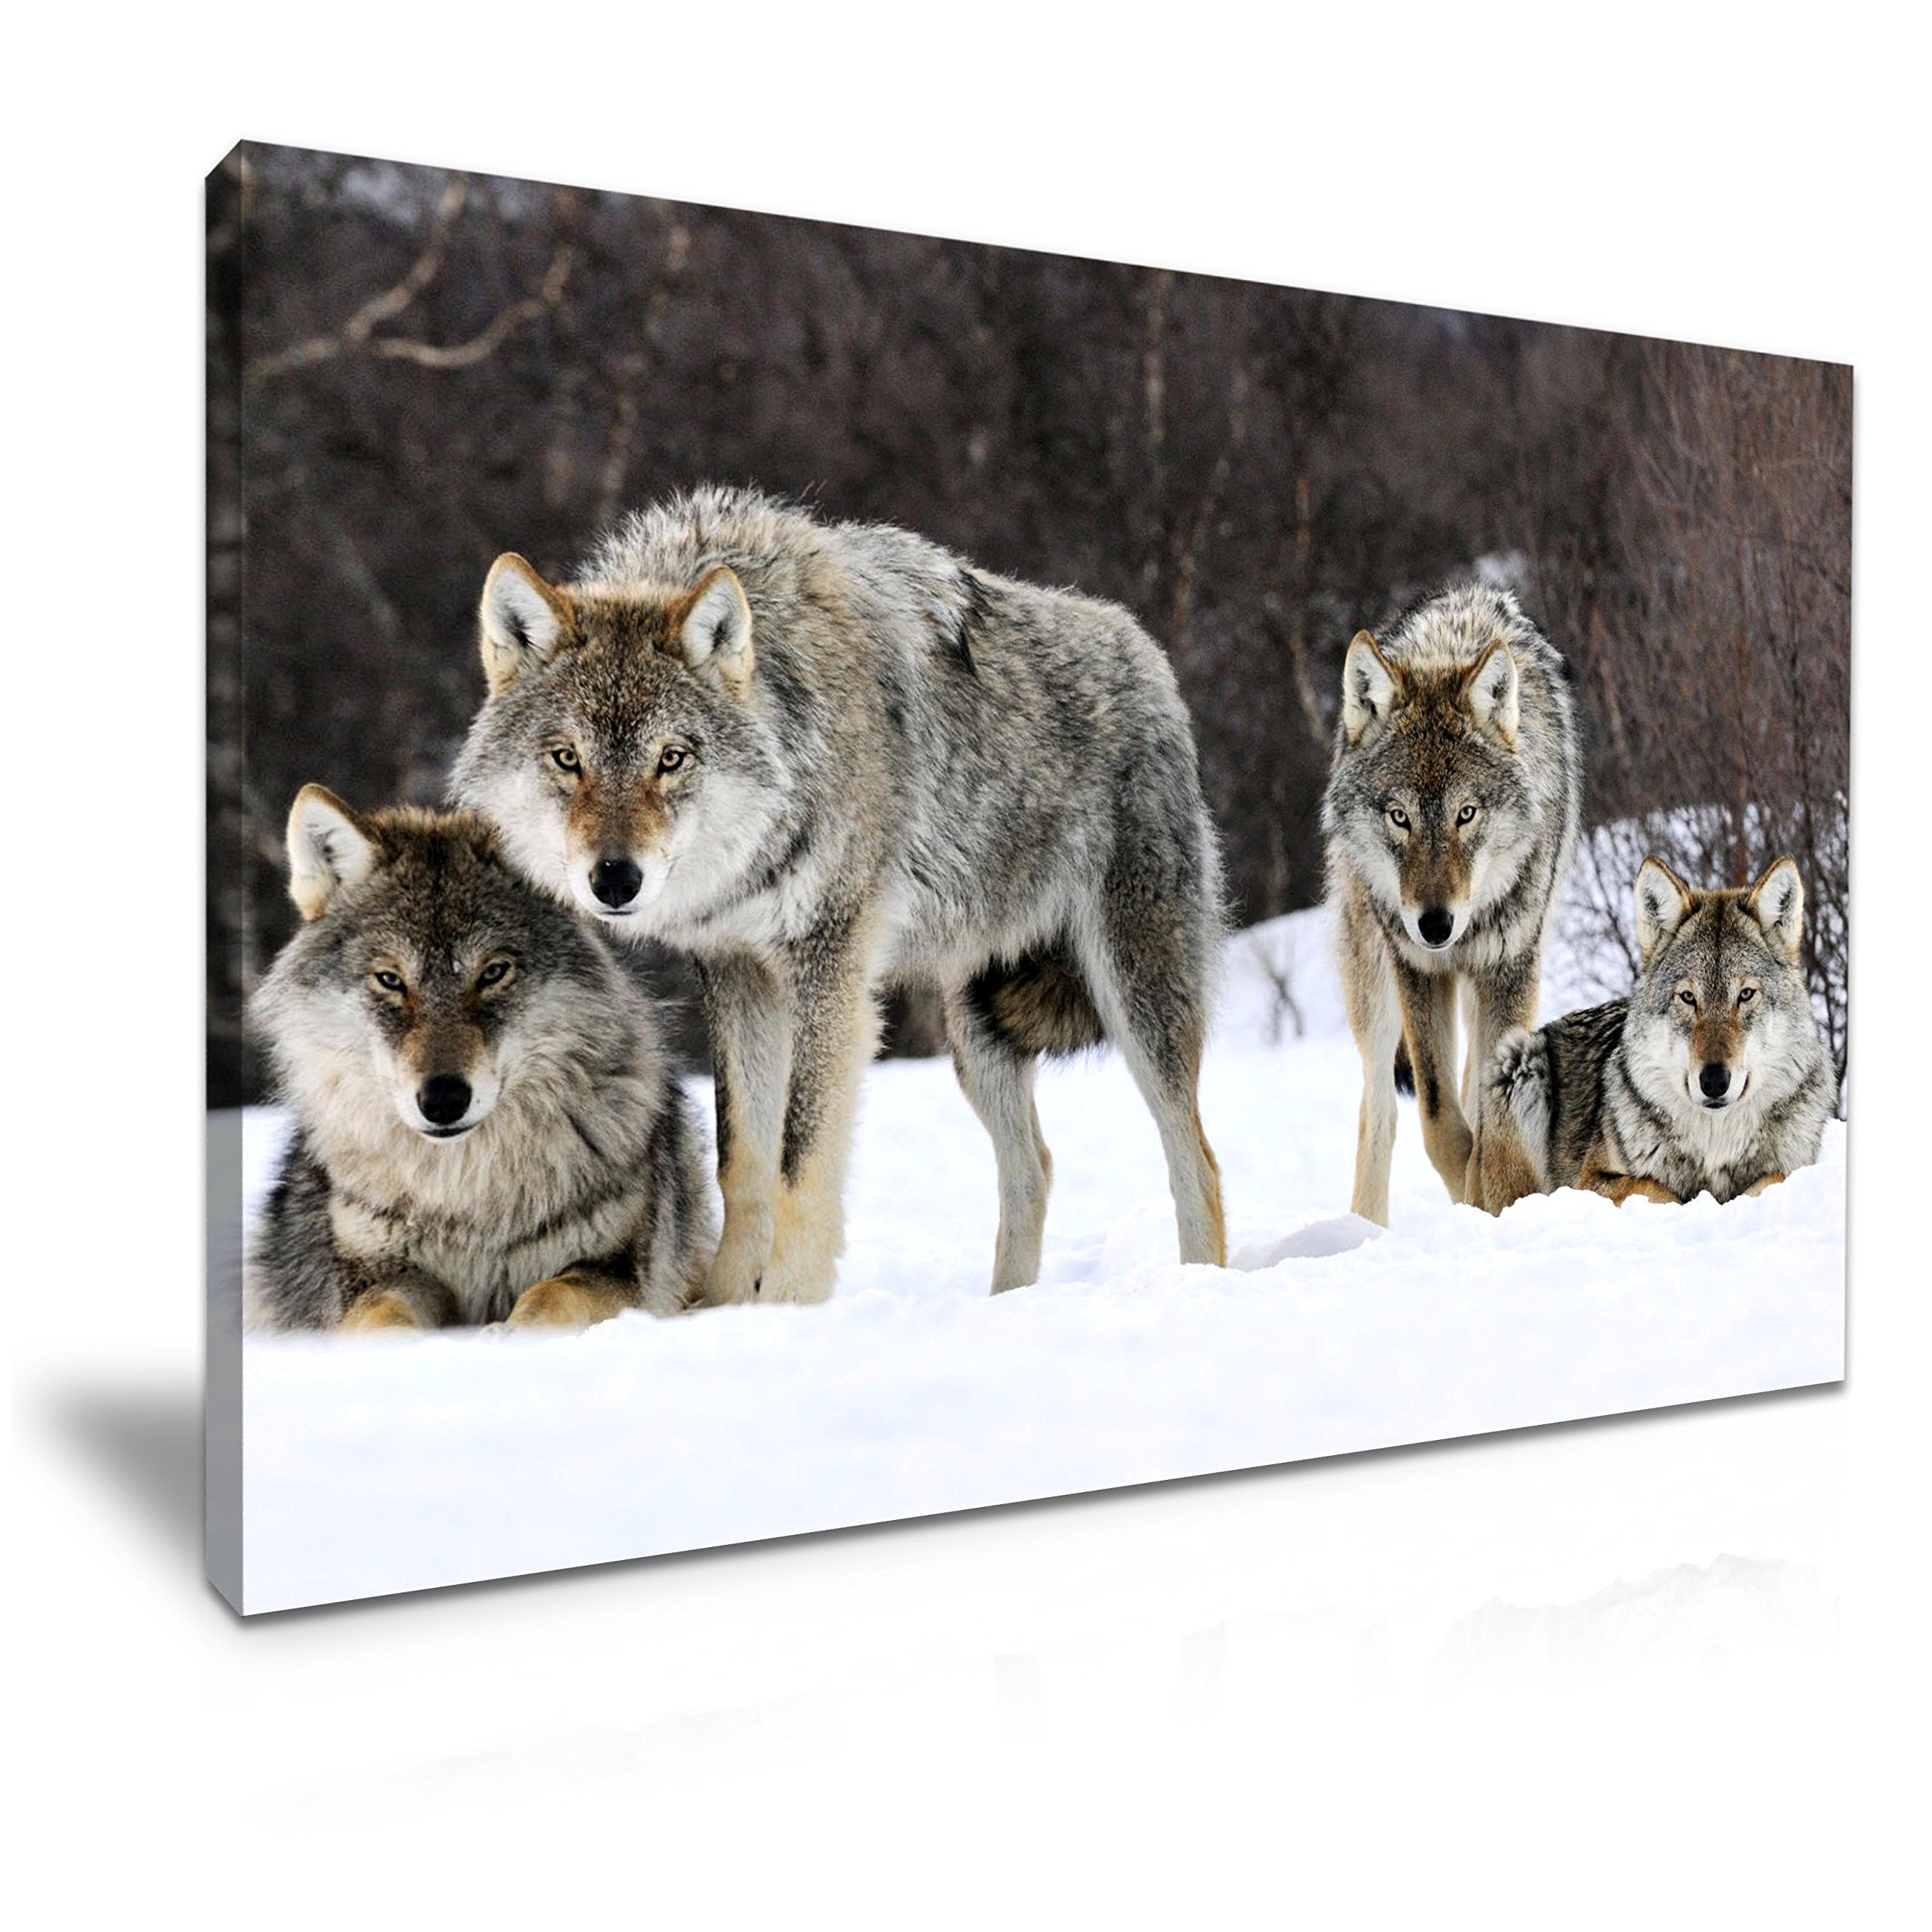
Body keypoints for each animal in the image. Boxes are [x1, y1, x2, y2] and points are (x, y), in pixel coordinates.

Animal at [245, 788, 716, 1333]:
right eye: (390, 980)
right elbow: (383, 1318)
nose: (443, 1099)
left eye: (493, 973)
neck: (467, 1195)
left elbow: (551, 1295)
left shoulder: (615, 1269)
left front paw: (505, 1336)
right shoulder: (379, 1276)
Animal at [451, 485, 1227, 1304]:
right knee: (1033, 1169)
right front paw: (724, 1306)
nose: (614, 879)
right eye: (567, 758)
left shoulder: (830, 968)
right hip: (976, 1034)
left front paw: (790, 1303)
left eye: (671, 758)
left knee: (1195, 1160)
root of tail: (1145, 651)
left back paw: (1199, 1288)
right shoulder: (739, 972)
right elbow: (742, 1161)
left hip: (1135, 998)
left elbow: (801, 1161)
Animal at [1321, 582, 1581, 1223]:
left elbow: (1487, 1117)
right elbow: (1439, 1119)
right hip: (1373, 983)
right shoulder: (1416, 968)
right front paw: (1469, 1191)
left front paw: (1489, 1197)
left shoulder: (1510, 968)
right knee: (1379, 1110)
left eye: (1467, 814)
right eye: (1400, 817)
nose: (1436, 925)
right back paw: (1364, 1228)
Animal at [1485, 855, 1837, 1206]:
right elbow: (1655, 1187)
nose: (1714, 1081)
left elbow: (1773, 1179)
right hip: (1520, 1062)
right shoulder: (1590, 1180)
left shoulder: (1792, 1167)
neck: (1715, 1146)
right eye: (1688, 997)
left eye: (1746, 995)